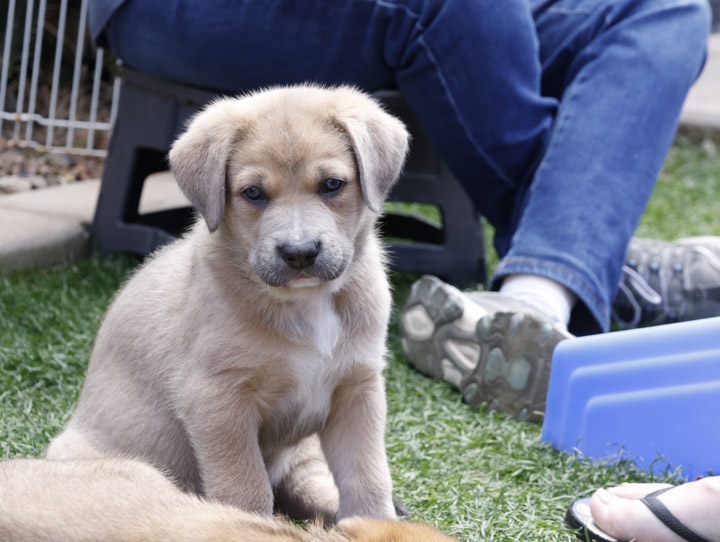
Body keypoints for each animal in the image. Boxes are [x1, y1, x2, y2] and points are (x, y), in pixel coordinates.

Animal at [47, 85, 410, 524]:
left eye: (331, 184)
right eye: (253, 193)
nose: (300, 254)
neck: (304, 302)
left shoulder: (357, 389)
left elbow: (367, 476)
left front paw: (374, 523)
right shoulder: (217, 399)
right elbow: (245, 486)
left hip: (304, 453)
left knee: (311, 485)